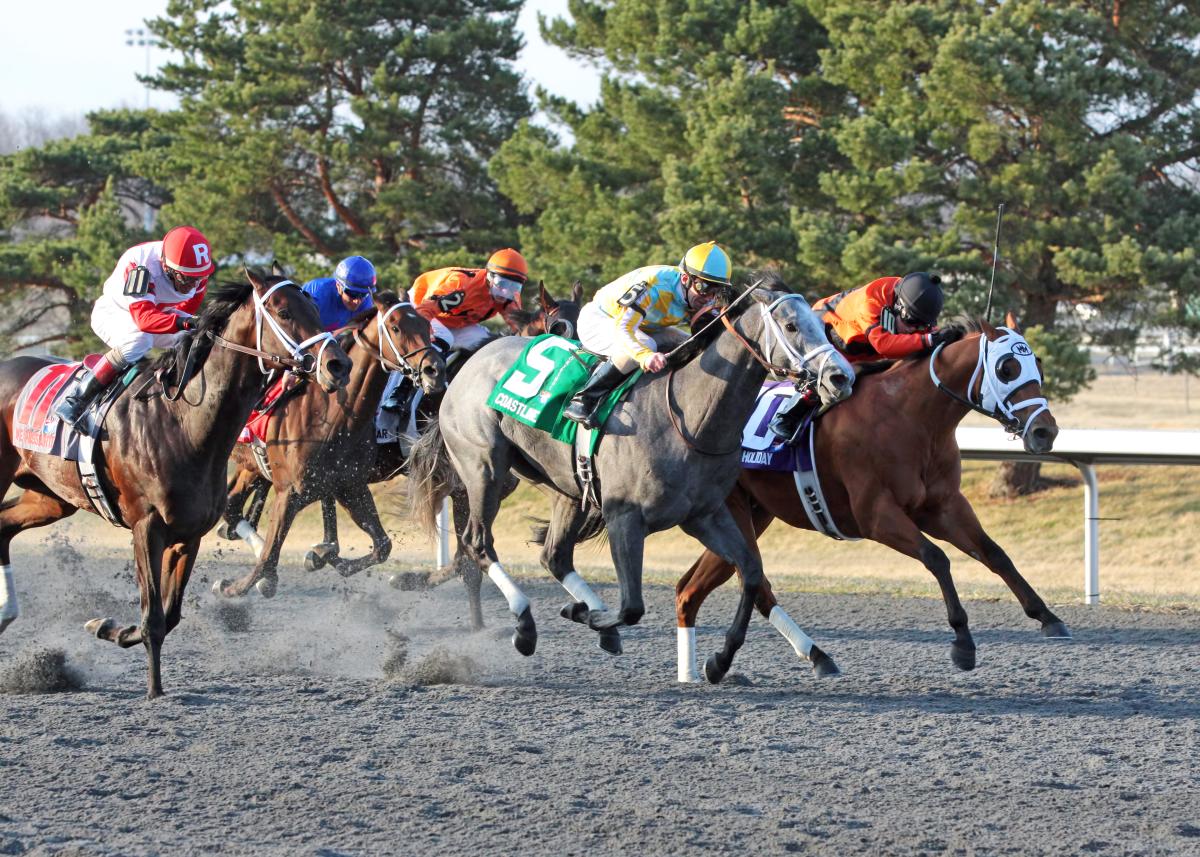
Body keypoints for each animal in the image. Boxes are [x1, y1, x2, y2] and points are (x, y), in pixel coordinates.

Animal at [0, 272, 350, 696]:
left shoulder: (188, 534)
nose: (338, 364)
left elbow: (169, 616)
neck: (181, 423)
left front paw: (108, 627)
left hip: (49, 498)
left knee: (3, 527)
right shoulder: (147, 527)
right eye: (283, 311)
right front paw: (154, 690)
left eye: (316, 308)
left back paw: (6, 613)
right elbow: (153, 616)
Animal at [212, 290, 446, 597]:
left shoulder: (349, 485)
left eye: (425, 325)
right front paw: (235, 586)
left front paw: (325, 556)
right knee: (232, 506)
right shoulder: (290, 491)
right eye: (395, 327)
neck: (332, 415)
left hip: (254, 467)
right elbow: (270, 553)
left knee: (232, 504)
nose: (434, 371)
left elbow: (382, 545)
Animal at [410, 277, 854, 686]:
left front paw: (719, 660)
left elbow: (751, 572)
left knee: (554, 556)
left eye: (822, 324)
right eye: (792, 326)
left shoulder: (704, 515)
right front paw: (591, 617)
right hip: (484, 469)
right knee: (478, 543)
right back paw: (525, 626)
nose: (840, 377)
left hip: (564, 487)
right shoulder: (625, 517)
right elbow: (632, 607)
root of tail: (468, 365)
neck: (690, 417)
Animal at [676, 314, 1070, 681]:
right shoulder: (875, 516)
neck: (912, 418)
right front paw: (963, 642)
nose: (1045, 431)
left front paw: (1048, 617)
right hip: (733, 510)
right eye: (1007, 368)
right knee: (749, 578)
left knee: (694, 588)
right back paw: (724, 661)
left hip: (754, 514)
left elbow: (995, 553)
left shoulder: (943, 508)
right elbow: (937, 557)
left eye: (1039, 367)